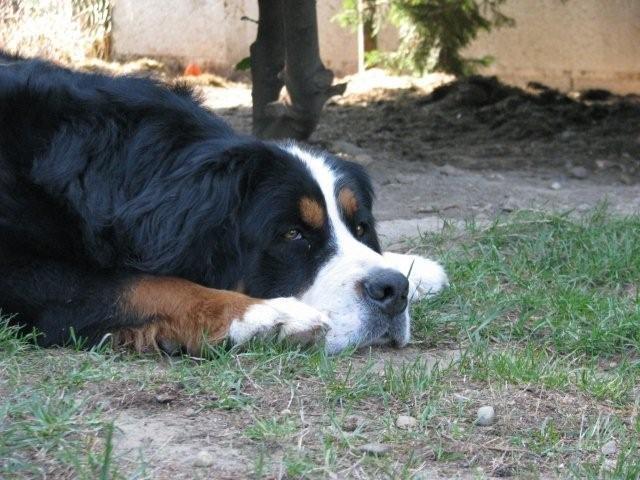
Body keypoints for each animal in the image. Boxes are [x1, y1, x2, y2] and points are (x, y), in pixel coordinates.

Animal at [0, 52, 450, 354]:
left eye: (360, 228)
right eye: (292, 234)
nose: (393, 289)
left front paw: (416, 268)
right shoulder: (21, 273)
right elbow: (141, 285)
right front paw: (270, 317)